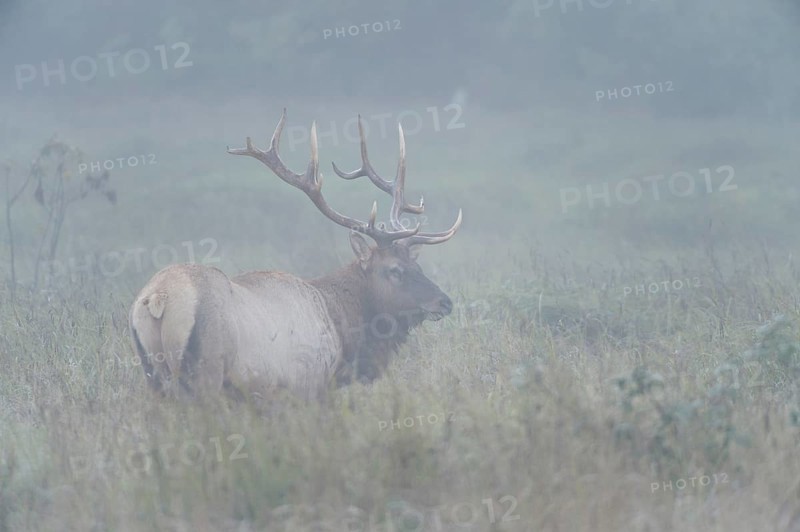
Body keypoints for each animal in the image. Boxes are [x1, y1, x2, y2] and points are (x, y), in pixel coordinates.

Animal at [129, 109, 462, 401]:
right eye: (395, 269)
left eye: (417, 265)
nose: (445, 301)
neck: (342, 331)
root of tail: (158, 298)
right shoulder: (308, 385)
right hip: (206, 371)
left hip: (152, 376)